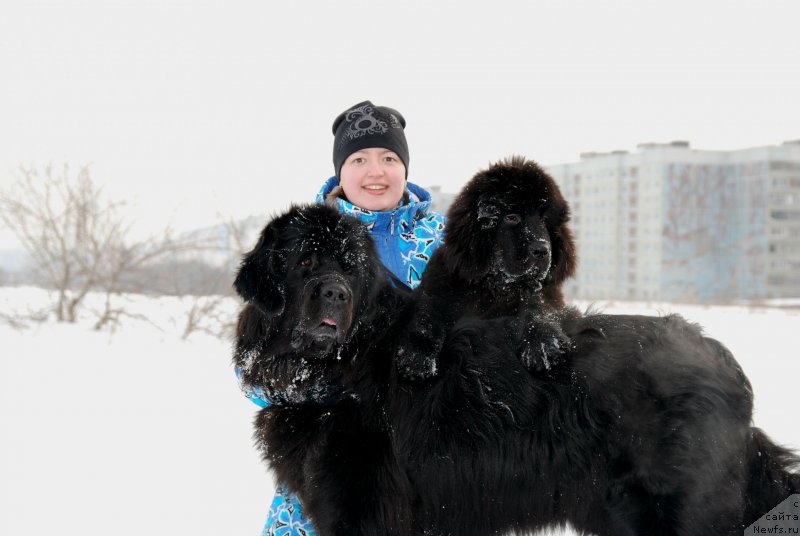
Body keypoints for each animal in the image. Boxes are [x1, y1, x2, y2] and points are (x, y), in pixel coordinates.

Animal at [234, 202, 796, 536]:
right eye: (306, 262)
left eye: (351, 268)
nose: (335, 293)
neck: (345, 363)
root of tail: (726, 364)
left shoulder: (364, 507)